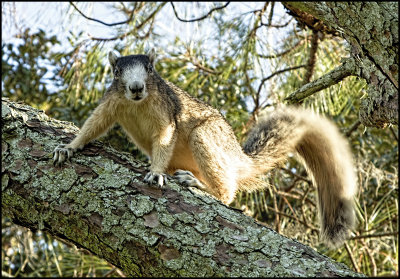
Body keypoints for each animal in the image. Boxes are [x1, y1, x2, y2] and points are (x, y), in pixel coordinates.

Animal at [52, 49, 356, 248]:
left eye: (150, 69)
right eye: (117, 72)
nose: (136, 87)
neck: (138, 103)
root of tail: (238, 158)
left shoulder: (166, 114)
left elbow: (165, 138)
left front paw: (156, 172)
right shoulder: (111, 102)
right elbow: (94, 125)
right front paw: (69, 147)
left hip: (206, 138)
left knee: (227, 192)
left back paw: (199, 184)